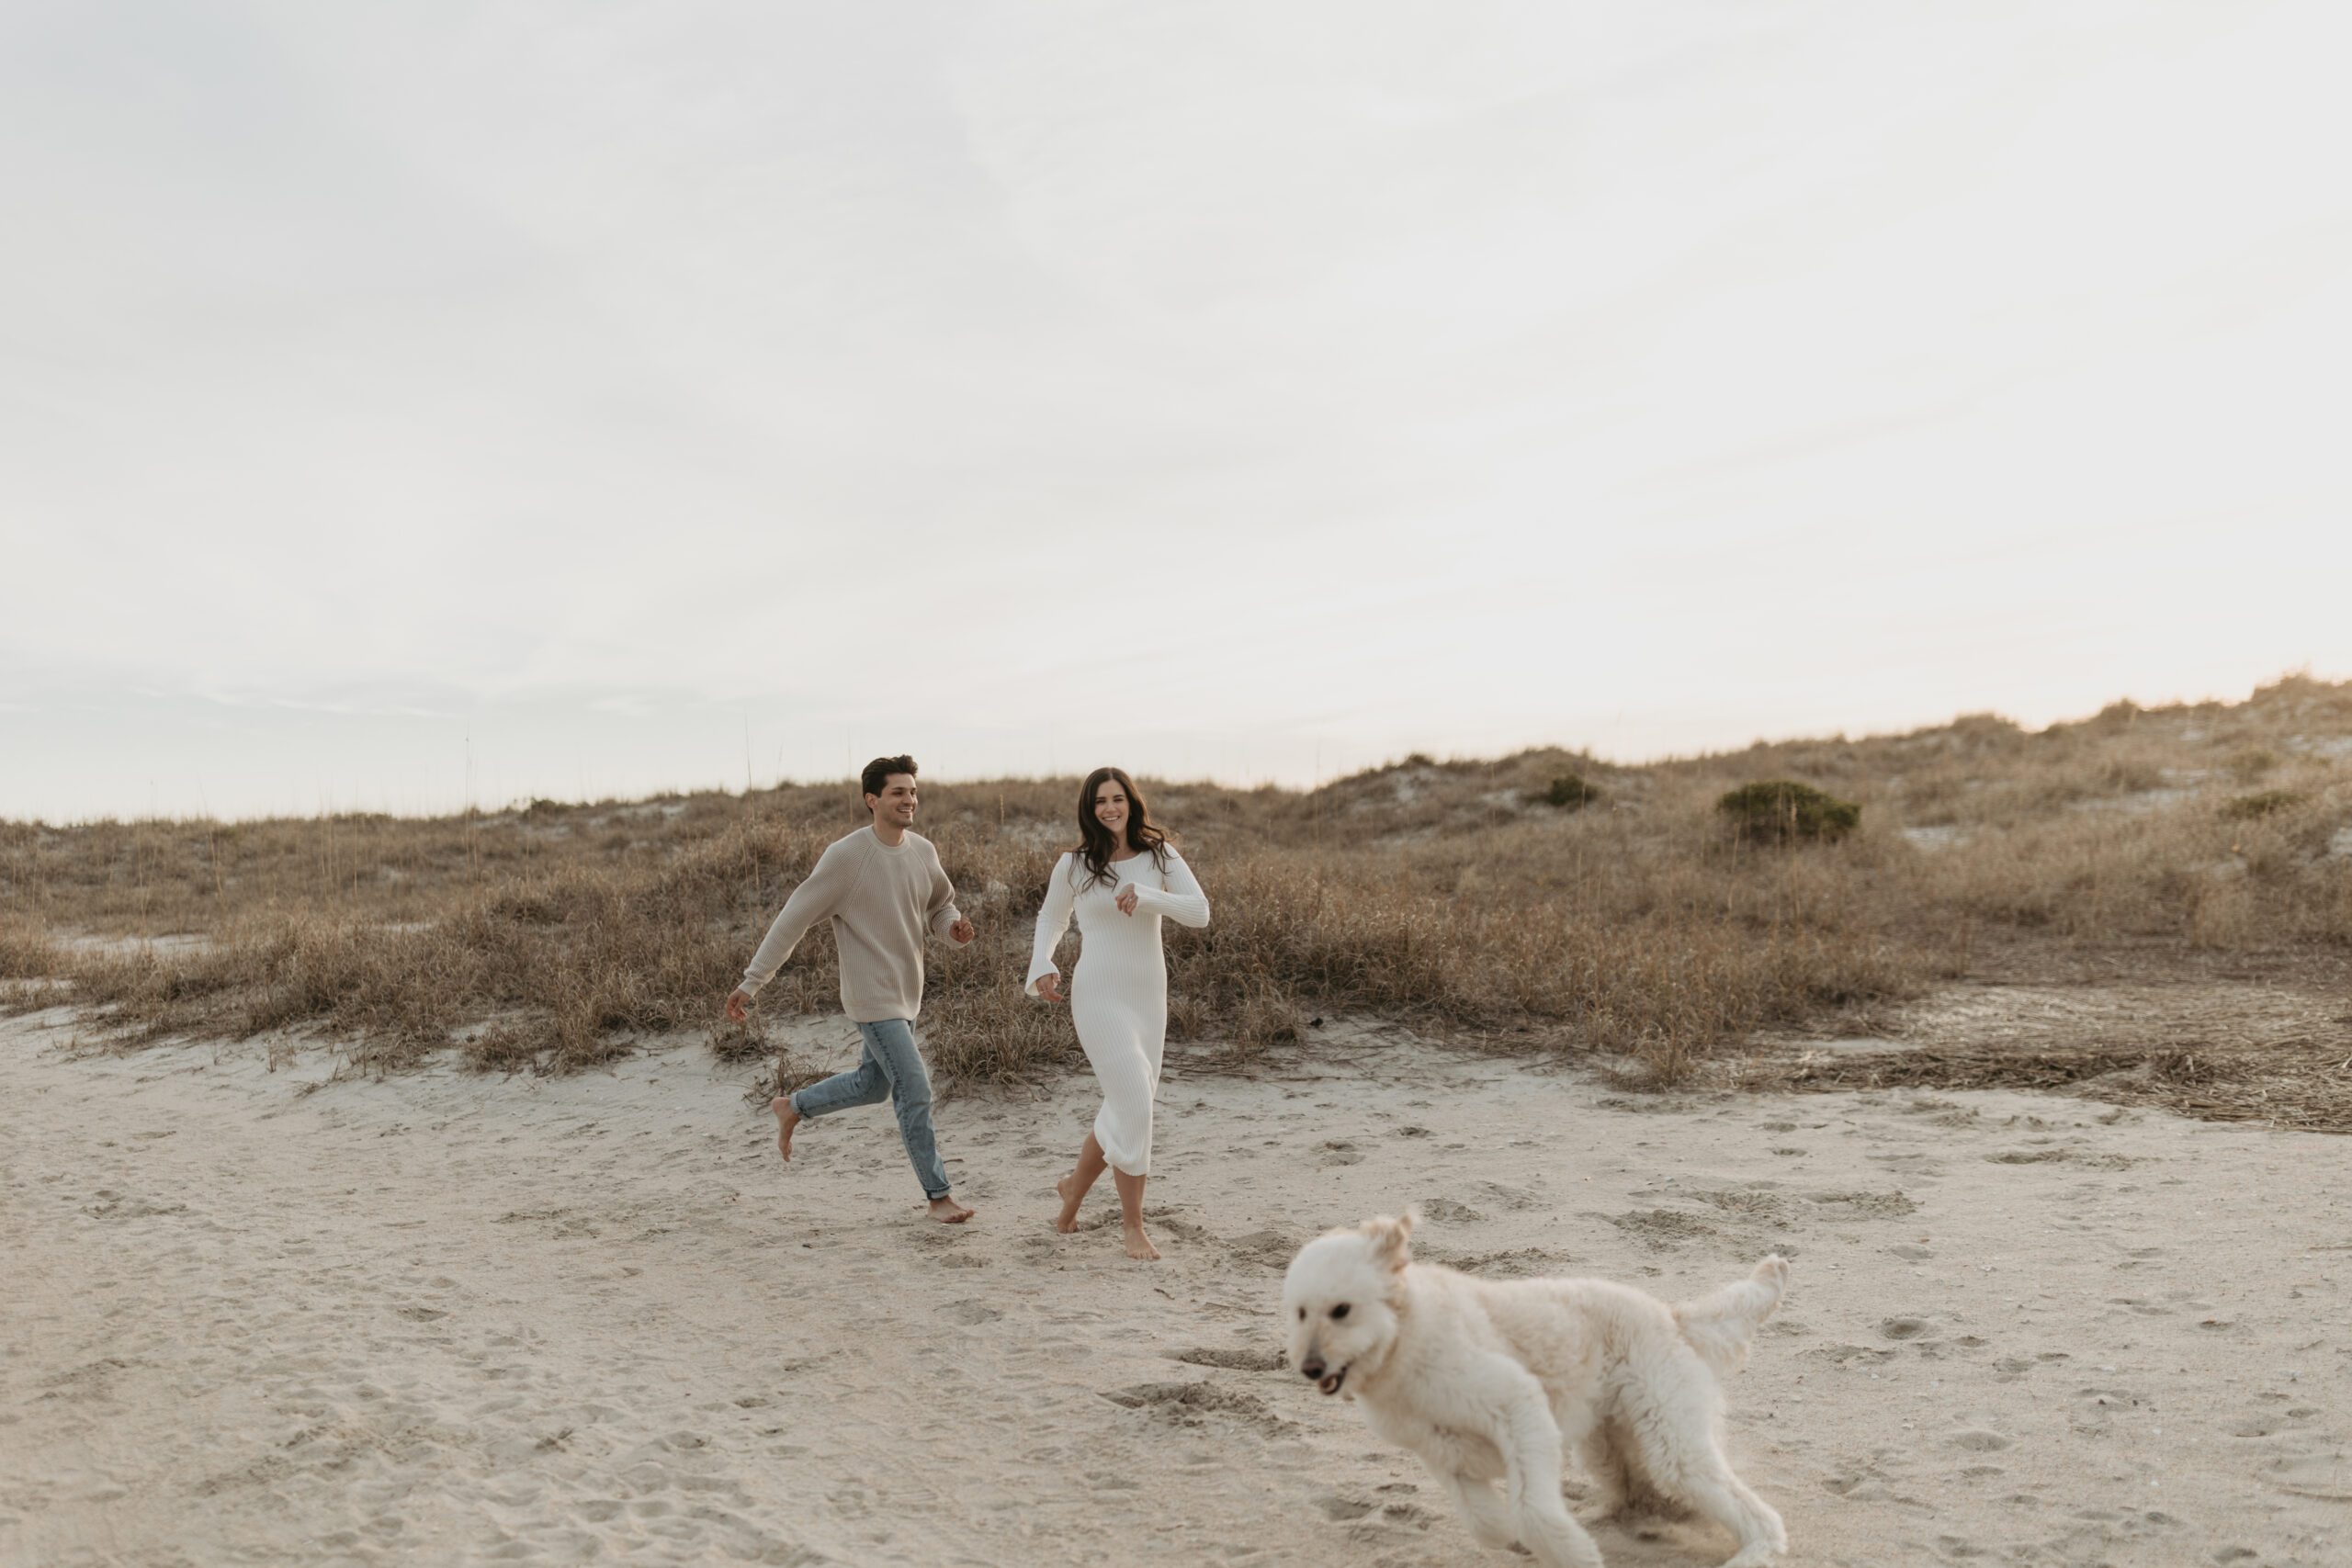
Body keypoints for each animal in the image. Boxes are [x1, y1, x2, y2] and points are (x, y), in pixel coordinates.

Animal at [1279, 1213, 1787, 1568]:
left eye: (1342, 1310)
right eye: (1300, 1312)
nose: (1309, 1367)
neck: (1405, 1338)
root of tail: (1673, 1317)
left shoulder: (1516, 1405)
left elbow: (1532, 1510)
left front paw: (1575, 1554)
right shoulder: (1441, 1451)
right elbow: (1485, 1523)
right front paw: (1522, 1541)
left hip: (1671, 1442)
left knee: (1757, 1515)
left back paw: (1753, 1551)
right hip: (1604, 1444)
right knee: (1634, 1495)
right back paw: (1613, 1518)